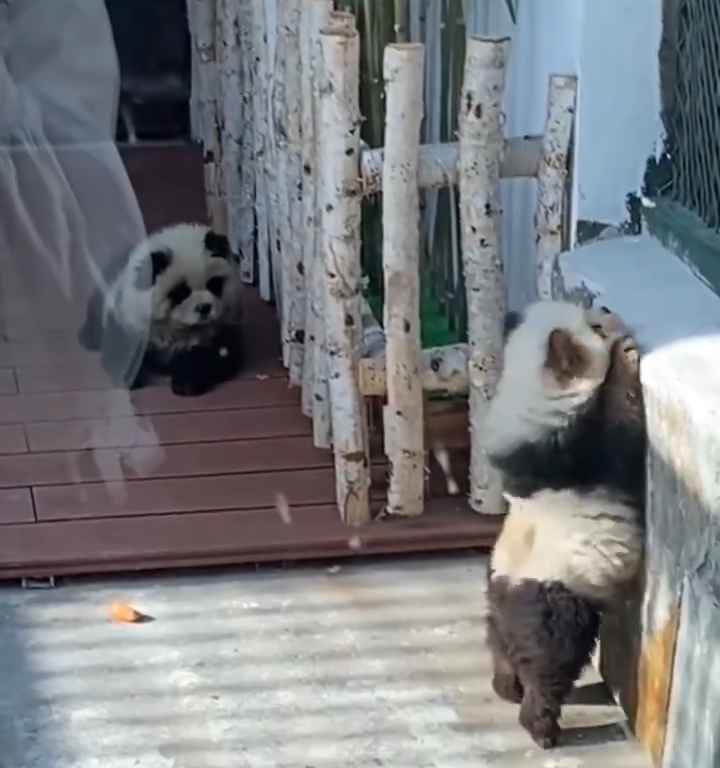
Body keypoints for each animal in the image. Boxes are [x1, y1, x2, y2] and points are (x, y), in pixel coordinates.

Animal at [80, 219, 245, 392]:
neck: (177, 328)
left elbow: (216, 355)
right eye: (180, 292)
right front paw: (130, 377)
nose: (204, 308)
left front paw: (186, 382)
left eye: (214, 284)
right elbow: (122, 346)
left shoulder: (221, 328)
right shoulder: (131, 315)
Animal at [484, 300, 648, 752]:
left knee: (500, 648)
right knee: (549, 667)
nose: (607, 310)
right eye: (594, 325)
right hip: (556, 603)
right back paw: (541, 728)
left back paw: (507, 687)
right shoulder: (581, 448)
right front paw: (626, 356)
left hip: (499, 598)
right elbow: (623, 422)